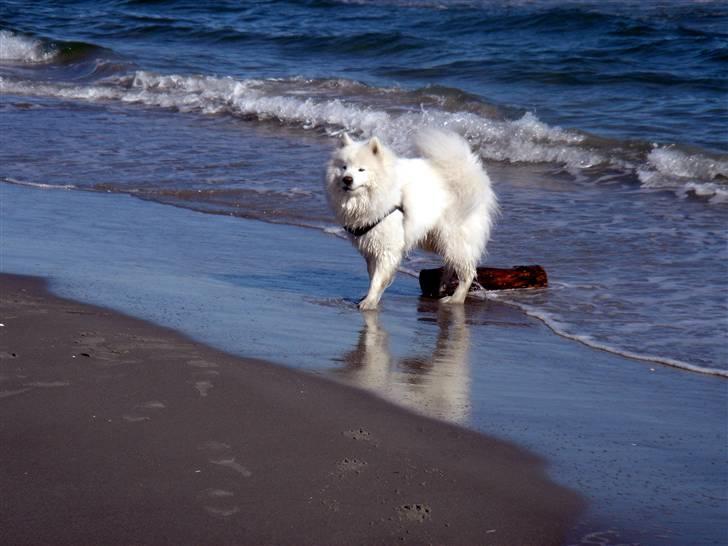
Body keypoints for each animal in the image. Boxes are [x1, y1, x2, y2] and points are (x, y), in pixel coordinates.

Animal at [328, 126, 498, 306]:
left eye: (361, 169)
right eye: (344, 167)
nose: (347, 179)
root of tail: (473, 175)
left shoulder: (386, 246)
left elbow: (377, 279)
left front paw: (369, 301)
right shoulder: (371, 246)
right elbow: (374, 275)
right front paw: (372, 298)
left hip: (453, 238)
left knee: (467, 272)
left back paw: (455, 298)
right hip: (438, 239)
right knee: (450, 265)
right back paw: (441, 286)